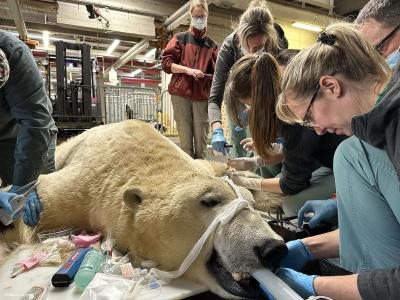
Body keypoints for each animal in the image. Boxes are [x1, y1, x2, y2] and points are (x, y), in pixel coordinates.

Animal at [0, 120, 288, 298]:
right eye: (209, 201)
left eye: (248, 206)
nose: (272, 249)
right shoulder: (85, 188)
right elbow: (36, 194)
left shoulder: (199, 164)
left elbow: (226, 171)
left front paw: (263, 193)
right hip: (64, 150)